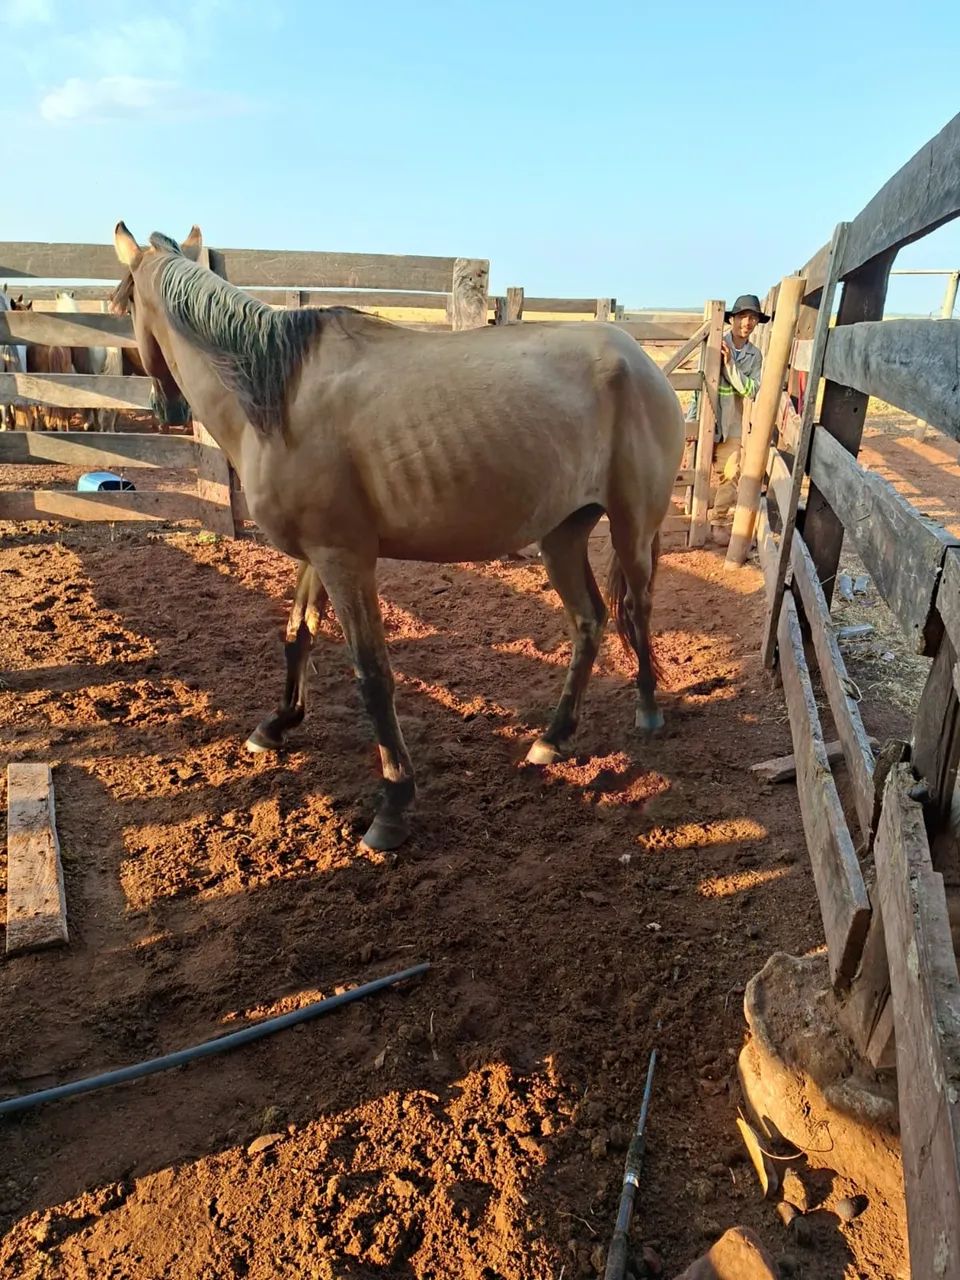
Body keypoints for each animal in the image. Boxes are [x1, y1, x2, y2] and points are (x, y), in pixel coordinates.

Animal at [111, 221, 685, 851]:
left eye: (121, 305)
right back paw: (552, 738)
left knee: (638, 608)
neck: (278, 399)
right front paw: (276, 725)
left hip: (632, 528)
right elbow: (297, 635)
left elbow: (372, 675)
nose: (165, 407)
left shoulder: (346, 561)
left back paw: (649, 709)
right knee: (590, 621)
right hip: (561, 536)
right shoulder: (320, 556)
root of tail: (640, 361)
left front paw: (392, 802)